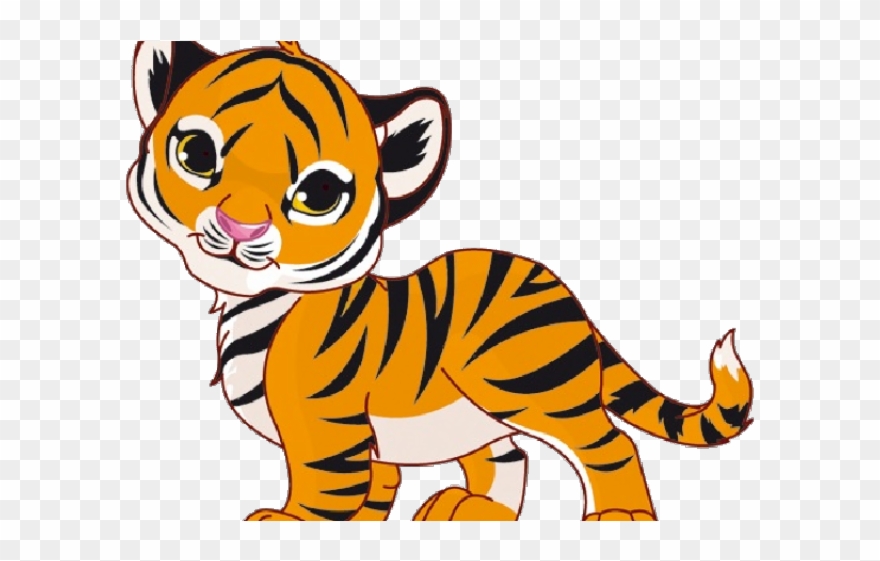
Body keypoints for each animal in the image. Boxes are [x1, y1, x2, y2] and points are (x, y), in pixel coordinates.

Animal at [126, 40, 754, 522]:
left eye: (318, 194)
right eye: (196, 154)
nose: (240, 225)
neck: (255, 303)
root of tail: (559, 287)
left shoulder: (327, 425)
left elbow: (326, 484)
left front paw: (290, 525)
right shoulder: (373, 444)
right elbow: (377, 485)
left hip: (528, 384)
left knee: (608, 443)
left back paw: (619, 519)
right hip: (479, 415)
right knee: (509, 457)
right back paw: (475, 512)